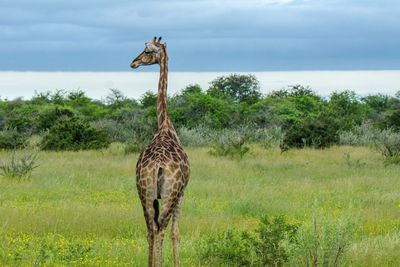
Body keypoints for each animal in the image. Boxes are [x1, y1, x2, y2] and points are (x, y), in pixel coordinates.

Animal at [130, 36, 189, 267]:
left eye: (147, 51)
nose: (134, 62)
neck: (164, 126)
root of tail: (157, 165)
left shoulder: (156, 195)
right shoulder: (182, 192)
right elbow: (176, 233)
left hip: (143, 191)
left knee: (150, 229)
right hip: (171, 193)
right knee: (161, 228)